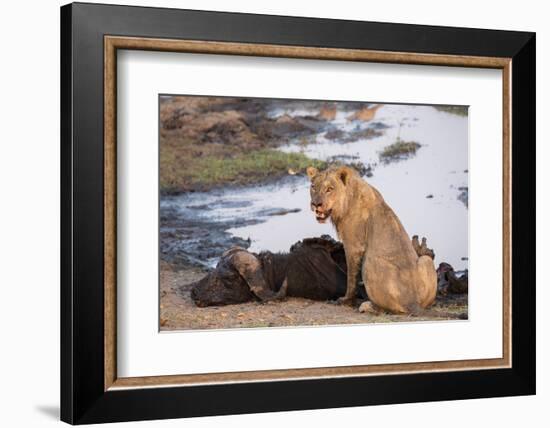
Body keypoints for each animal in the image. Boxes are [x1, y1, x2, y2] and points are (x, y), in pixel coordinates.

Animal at [306, 166, 440, 316]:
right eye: (313, 187)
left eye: (329, 189)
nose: (316, 204)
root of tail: (413, 302)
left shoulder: (353, 246)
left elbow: (351, 277)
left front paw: (345, 300)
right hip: (426, 261)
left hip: (369, 262)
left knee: (388, 309)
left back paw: (367, 306)